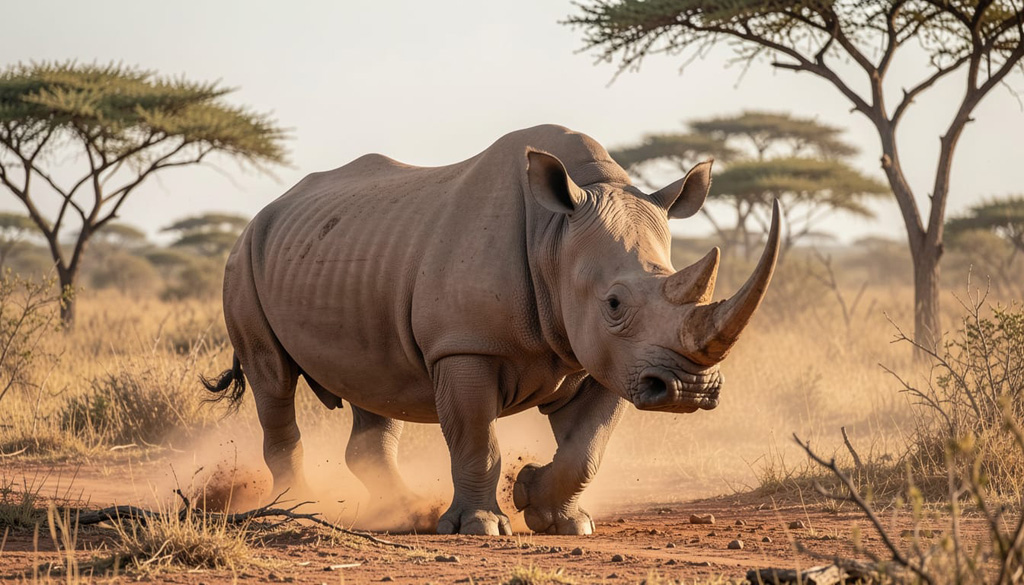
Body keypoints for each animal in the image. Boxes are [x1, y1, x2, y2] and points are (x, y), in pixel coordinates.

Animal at [204, 124, 779, 536]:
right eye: (615, 303)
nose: (689, 390)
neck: (555, 236)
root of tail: (260, 215)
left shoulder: (613, 358)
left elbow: (587, 447)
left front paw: (552, 513)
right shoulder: (464, 347)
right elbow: (475, 434)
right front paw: (480, 527)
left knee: (371, 387)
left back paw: (400, 510)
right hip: (242, 262)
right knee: (273, 380)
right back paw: (298, 507)